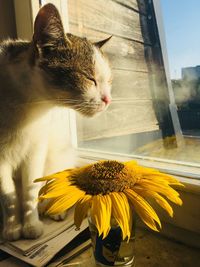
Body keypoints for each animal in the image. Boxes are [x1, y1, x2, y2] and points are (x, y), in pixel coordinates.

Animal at [0, 3, 111, 242]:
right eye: (89, 78)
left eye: (109, 81)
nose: (108, 99)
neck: (28, 104)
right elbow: (8, 195)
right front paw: (12, 228)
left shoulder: (35, 149)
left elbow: (30, 189)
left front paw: (31, 225)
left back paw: (53, 209)